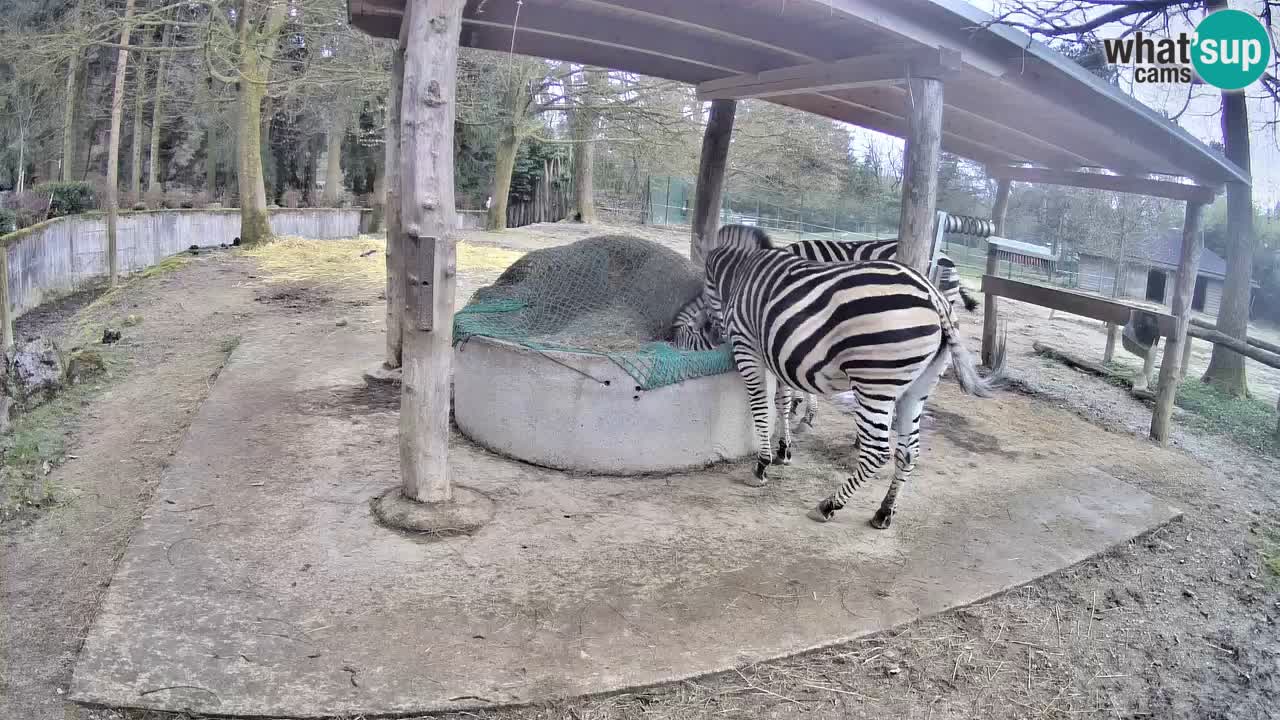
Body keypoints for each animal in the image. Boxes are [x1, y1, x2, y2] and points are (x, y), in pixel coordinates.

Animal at [693, 224, 1002, 528]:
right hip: (918, 386)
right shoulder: (779, 352)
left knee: (877, 451)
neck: (742, 274)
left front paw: (763, 463)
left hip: (875, 382)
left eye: (707, 285)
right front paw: (785, 448)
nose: (711, 330)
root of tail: (933, 295)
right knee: (908, 451)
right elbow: (782, 400)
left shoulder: (748, 346)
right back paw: (883, 512)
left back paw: (828, 505)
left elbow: (760, 404)